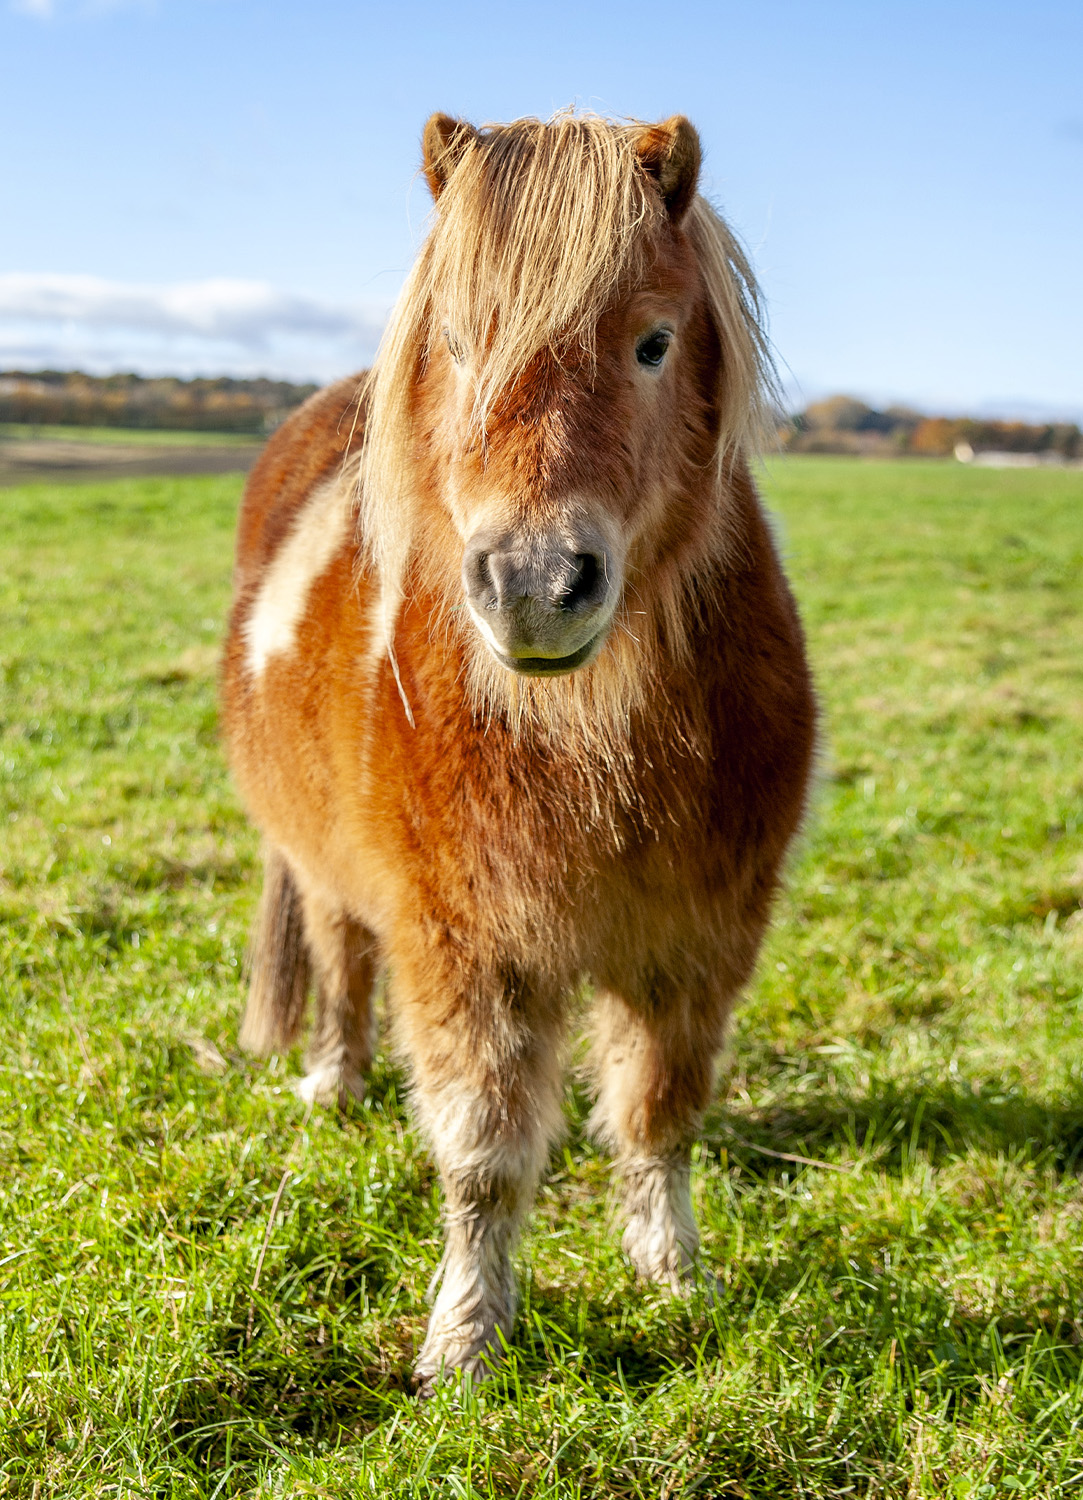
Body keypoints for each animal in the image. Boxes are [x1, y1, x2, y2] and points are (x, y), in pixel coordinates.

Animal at [221, 111, 816, 1392]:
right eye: (453, 340)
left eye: (653, 342)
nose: (536, 586)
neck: (592, 744)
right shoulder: (467, 950)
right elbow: (485, 1159)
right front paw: (464, 1340)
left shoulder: (696, 945)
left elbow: (657, 1114)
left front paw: (675, 1278)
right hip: (328, 874)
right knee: (341, 965)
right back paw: (334, 1082)